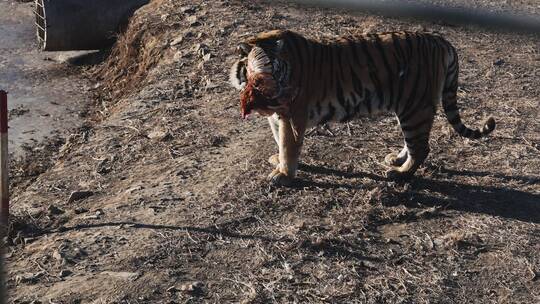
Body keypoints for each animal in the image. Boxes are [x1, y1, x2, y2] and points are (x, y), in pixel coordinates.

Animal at [227, 29, 494, 185]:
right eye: (261, 74)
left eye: (274, 70)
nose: (280, 92)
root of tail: (441, 41)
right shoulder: (277, 116)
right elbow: (278, 139)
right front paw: (279, 162)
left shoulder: (293, 114)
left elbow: (288, 144)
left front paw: (284, 175)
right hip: (409, 108)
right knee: (413, 143)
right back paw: (396, 160)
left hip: (414, 107)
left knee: (421, 147)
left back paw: (399, 174)